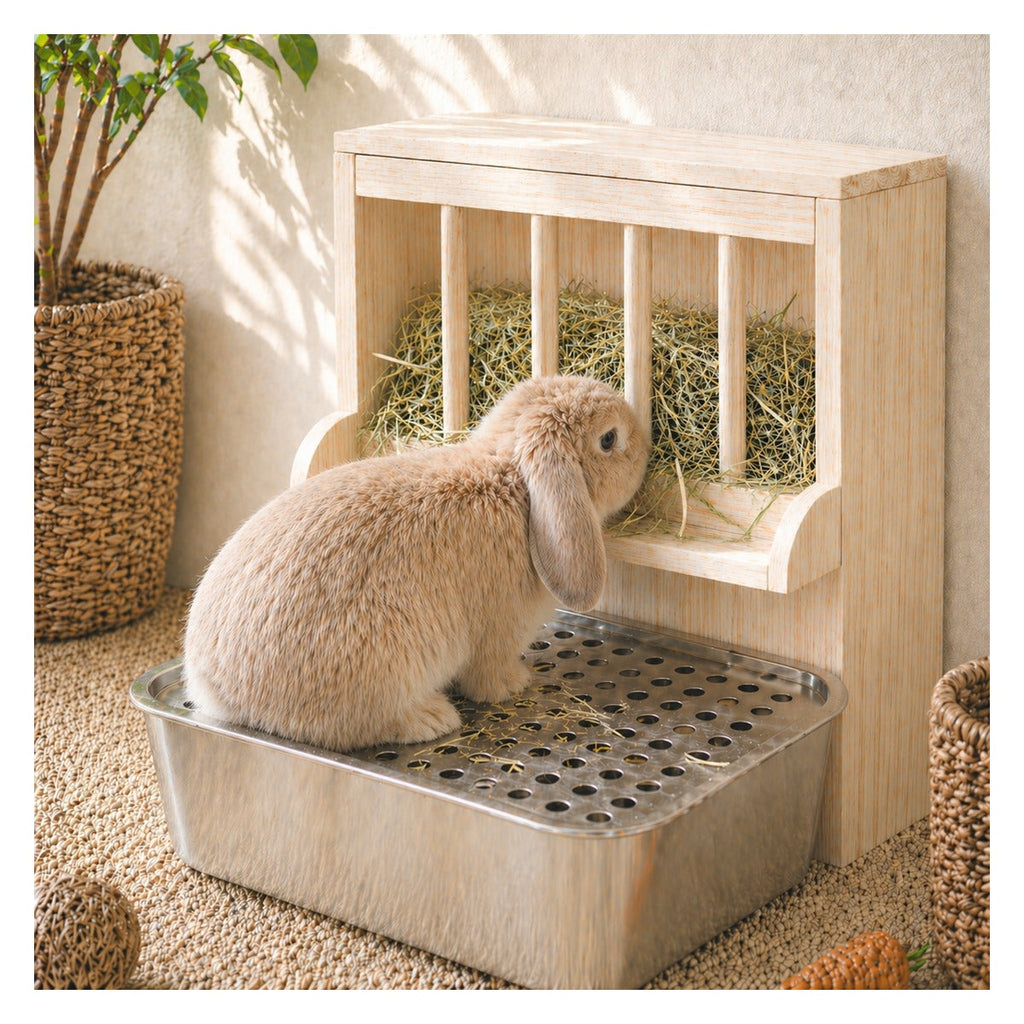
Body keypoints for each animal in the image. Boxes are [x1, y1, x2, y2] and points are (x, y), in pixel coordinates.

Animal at [182, 374, 649, 753]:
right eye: (609, 439)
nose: (645, 447)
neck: (516, 487)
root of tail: (218, 689)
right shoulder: (499, 631)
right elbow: (487, 675)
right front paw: (513, 685)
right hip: (380, 665)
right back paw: (432, 718)